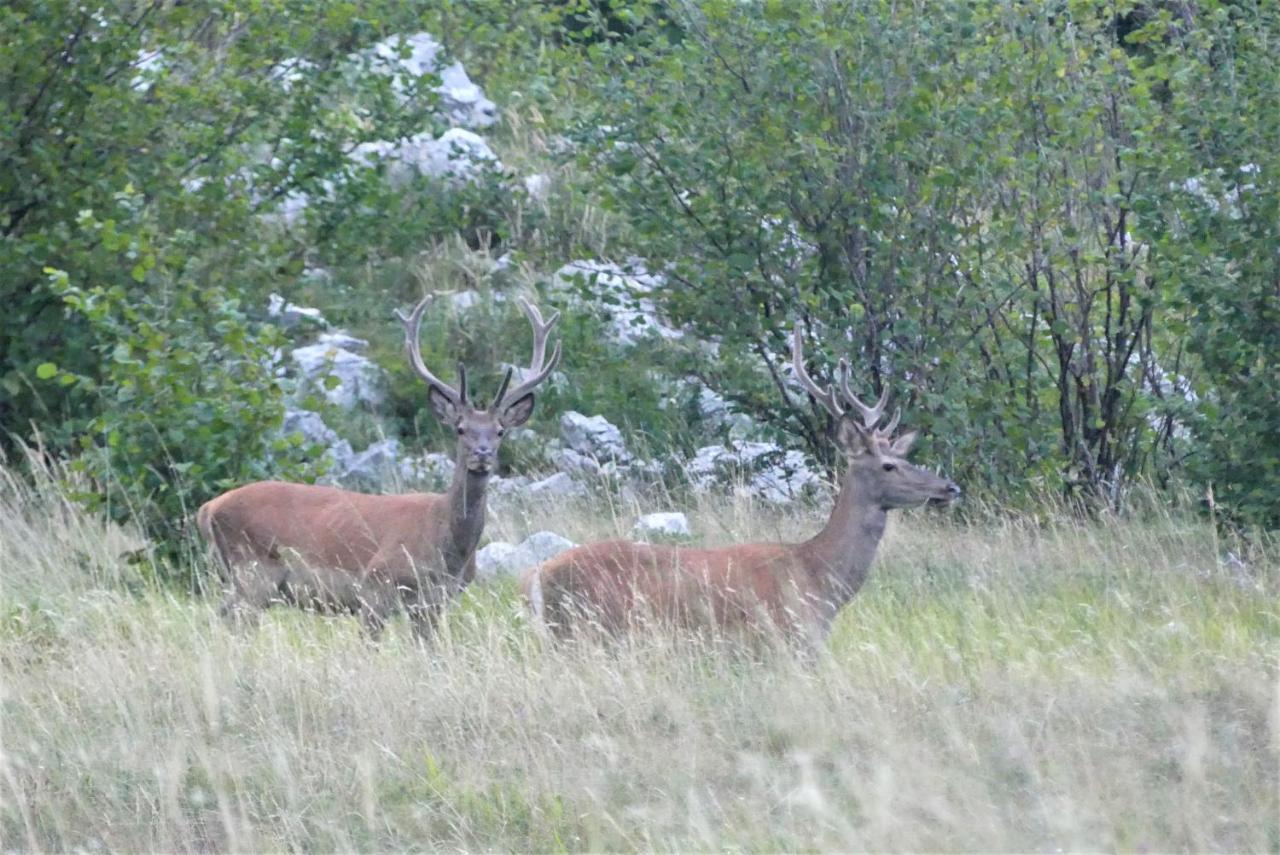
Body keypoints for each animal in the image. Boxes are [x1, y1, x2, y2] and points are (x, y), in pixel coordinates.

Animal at [197, 294, 558, 634]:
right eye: (460, 428)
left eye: (500, 431)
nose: (482, 453)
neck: (447, 549)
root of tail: (209, 508)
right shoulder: (374, 588)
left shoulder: (433, 605)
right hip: (253, 570)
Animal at [522, 327, 962, 647]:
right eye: (889, 465)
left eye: (904, 457)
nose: (950, 487)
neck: (818, 580)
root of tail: (537, 578)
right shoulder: (779, 642)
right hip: (588, 632)